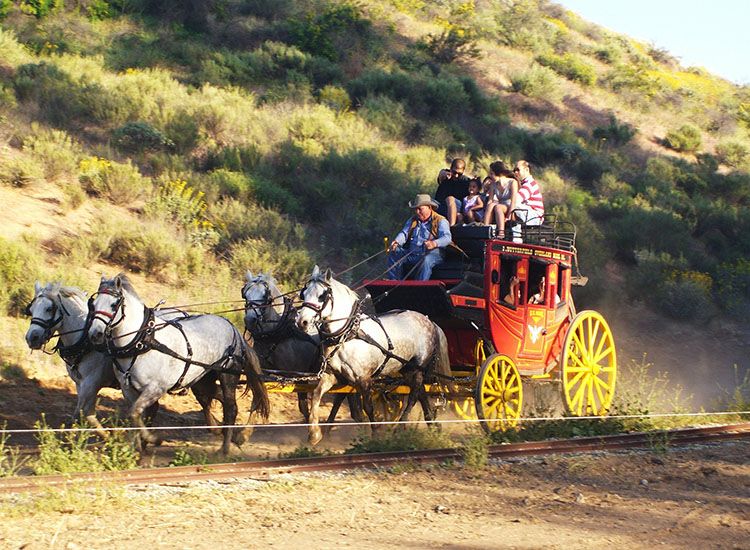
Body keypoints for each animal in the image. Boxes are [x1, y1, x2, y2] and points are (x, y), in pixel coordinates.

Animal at [88, 274, 270, 454]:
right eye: (94, 304)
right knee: (215, 397)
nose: (95, 334)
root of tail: (234, 329)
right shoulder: (129, 390)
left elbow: (136, 412)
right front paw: (138, 447)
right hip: (202, 380)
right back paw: (228, 434)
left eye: (114, 305)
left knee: (231, 408)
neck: (143, 341)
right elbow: (136, 415)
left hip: (228, 374)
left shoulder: (156, 388)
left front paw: (152, 438)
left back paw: (224, 449)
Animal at [242, 274, 366, 430]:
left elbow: (303, 406)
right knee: (342, 396)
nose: (250, 320)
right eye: (245, 293)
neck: (279, 333)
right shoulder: (263, 372)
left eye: (265, 295)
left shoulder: (298, 375)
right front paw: (245, 432)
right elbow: (258, 398)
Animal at [298, 266, 452, 446]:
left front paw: (375, 434)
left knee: (414, 395)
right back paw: (432, 424)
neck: (348, 335)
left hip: (417, 366)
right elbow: (316, 396)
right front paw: (314, 434)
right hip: (408, 368)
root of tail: (430, 321)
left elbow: (368, 407)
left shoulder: (364, 379)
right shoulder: (332, 376)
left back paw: (399, 427)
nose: (302, 322)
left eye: (322, 295)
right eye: (303, 293)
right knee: (420, 391)